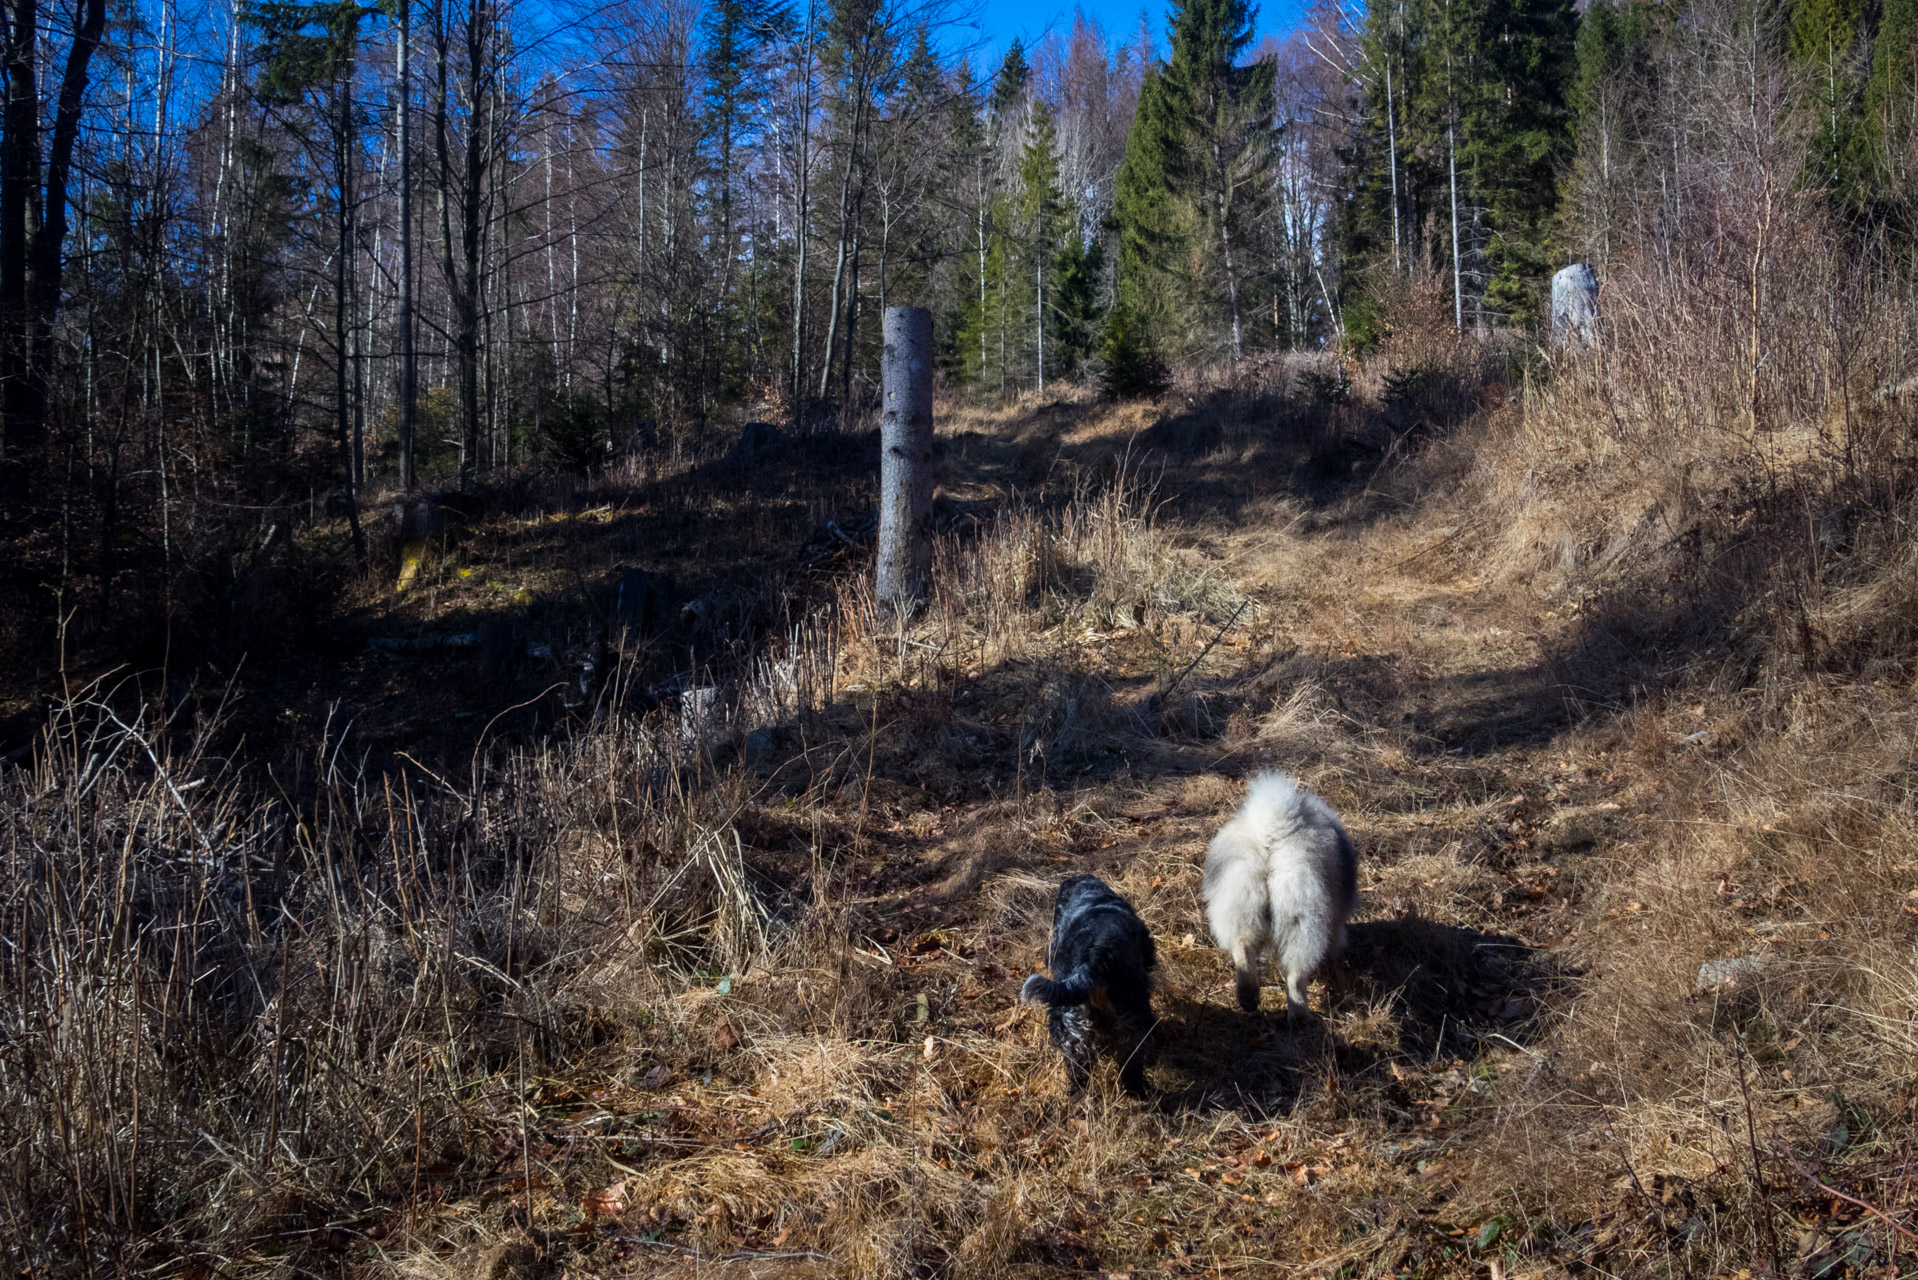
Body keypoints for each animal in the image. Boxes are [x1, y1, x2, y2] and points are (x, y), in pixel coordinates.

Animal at [1020, 875, 1150, 1097]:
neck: (1088, 893)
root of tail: (1099, 952)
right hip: (1130, 1013)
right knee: (1131, 1056)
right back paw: (1134, 1090)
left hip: (1070, 1019)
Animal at [1204, 775, 1357, 1028]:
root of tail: (1271, 838)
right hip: (1301, 919)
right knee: (1296, 974)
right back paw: (1301, 1017)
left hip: (1241, 903)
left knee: (1243, 948)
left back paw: (1248, 996)